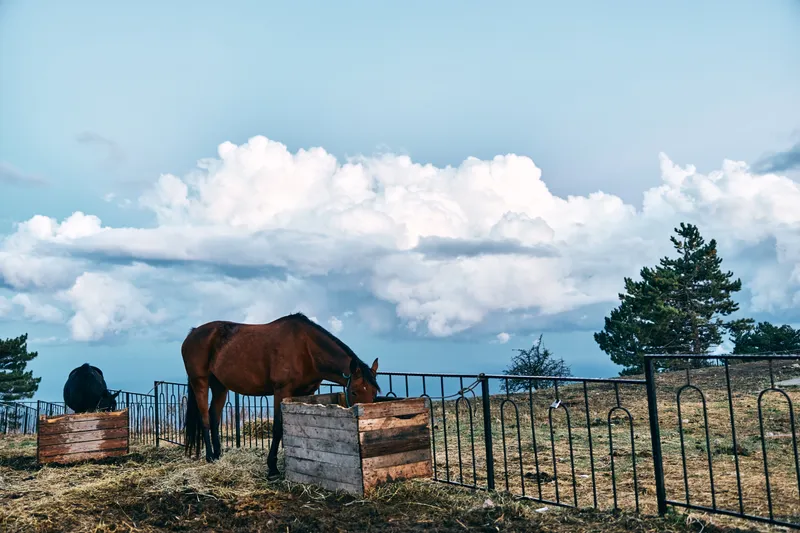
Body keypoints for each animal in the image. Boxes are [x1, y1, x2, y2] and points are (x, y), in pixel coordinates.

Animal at [181, 312, 380, 478]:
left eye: (374, 392)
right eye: (354, 391)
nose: (366, 424)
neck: (306, 349)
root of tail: (192, 334)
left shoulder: (306, 393)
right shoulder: (281, 390)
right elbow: (278, 427)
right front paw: (273, 468)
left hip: (220, 385)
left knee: (214, 417)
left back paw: (217, 454)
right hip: (200, 381)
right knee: (205, 418)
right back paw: (209, 456)